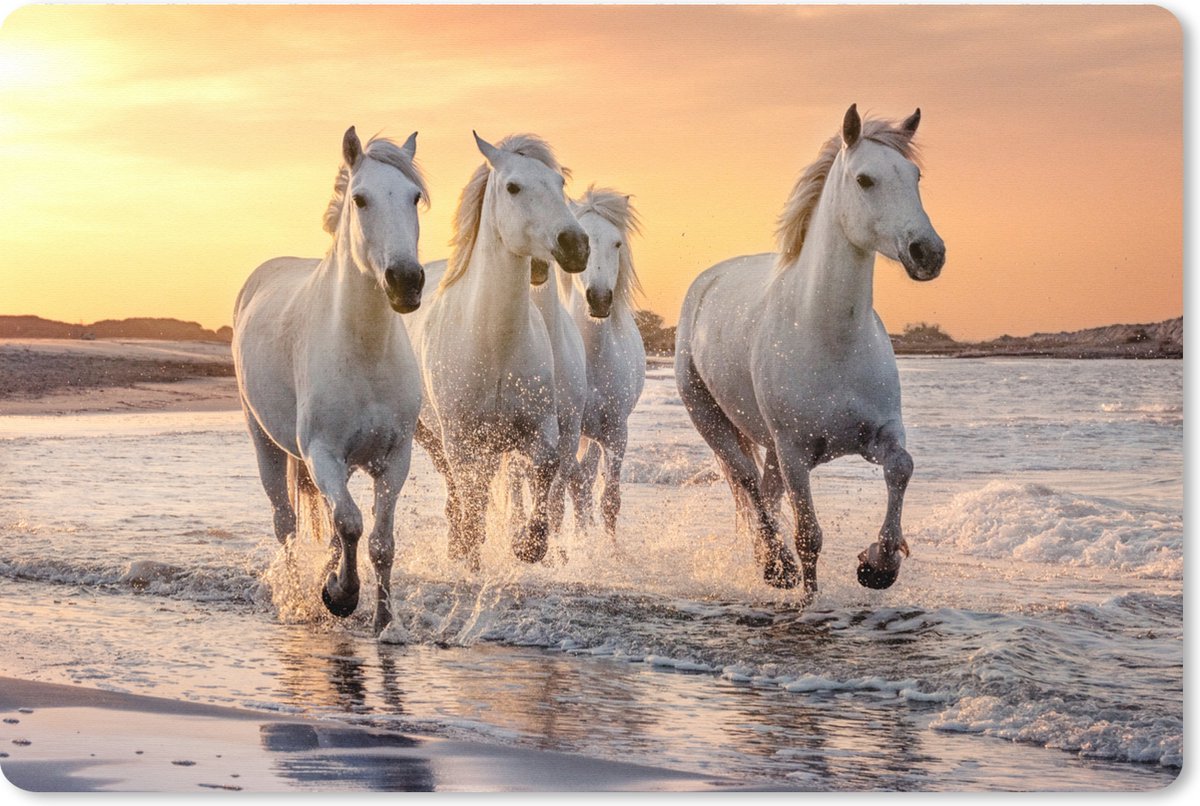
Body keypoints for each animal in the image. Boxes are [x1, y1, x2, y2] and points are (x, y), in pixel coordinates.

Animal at [232, 127, 428, 634]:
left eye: (414, 197)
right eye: (360, 199)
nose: (406, 281)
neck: (364, 351)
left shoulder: (394, 458)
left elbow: (378, 541)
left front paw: (384, 622)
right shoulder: (321, 452)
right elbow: (352, 524)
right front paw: (340, 595)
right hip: (265, 442)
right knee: (286, 523)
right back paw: (300, 598)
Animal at [406, 132, 589, 570]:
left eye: (560, 184)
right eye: (513, 187)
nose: (575, 245)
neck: (495, 345)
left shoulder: (541, 429)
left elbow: (546, 470)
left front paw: (528, 545)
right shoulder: (461, 440)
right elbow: (471, 499)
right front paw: (471, 555)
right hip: (433, 437)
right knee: (459, 493)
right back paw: (459, 548)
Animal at [674, 104, 945, 601]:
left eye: (915, 175)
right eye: (864, 180)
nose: (928, 253)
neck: (829, 338)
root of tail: (707, 282)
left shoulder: (880, 434)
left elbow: (902, 468)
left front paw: (879, 564)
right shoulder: (795, 452)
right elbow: (809, 537)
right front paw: (809, 596)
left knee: (766, 490)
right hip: (714, 421)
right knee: (749, 484)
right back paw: (776, 567)